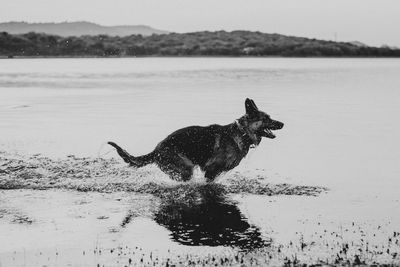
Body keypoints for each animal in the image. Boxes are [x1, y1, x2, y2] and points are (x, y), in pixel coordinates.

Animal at [108, 98, 284, 182]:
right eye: (266, 118)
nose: (283, 124)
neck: (242, 133)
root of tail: (156, 150)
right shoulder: (211, 170)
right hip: (186, 169)